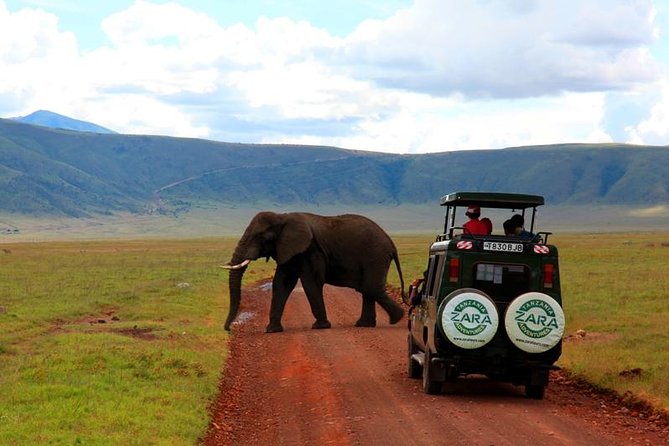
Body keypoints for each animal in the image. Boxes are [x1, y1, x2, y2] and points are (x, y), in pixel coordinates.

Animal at [222, 211, 406, 333]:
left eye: (262, 237)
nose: (229, 329)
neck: (283, 217)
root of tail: (391, 243)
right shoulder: (289, 250)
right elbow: (282, 283)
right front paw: (272, 330)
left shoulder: (310, 249)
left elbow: (310, 282)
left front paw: (320, 327)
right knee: (367, 289)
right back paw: (365, 324)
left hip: (375, 256)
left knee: (369, 287)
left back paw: (397, 318)